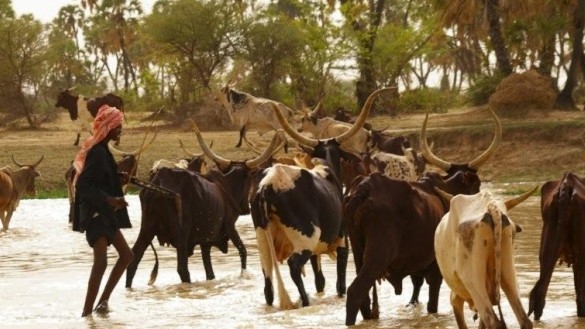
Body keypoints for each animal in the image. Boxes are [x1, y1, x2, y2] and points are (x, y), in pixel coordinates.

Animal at [342, 108, 502, 326]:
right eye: (476, 186)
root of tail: (364, 189)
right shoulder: (436, 270)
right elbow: (432, 304)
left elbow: (416, 293)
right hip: (377, 256)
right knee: (355, 292)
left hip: (359, 254)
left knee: (364, 299)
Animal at [434, 187, 532, 328]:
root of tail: (491, 206)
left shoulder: (456, 297)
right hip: (508, 271)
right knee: (524, 320)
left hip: (473, 281)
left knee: (491, 320)